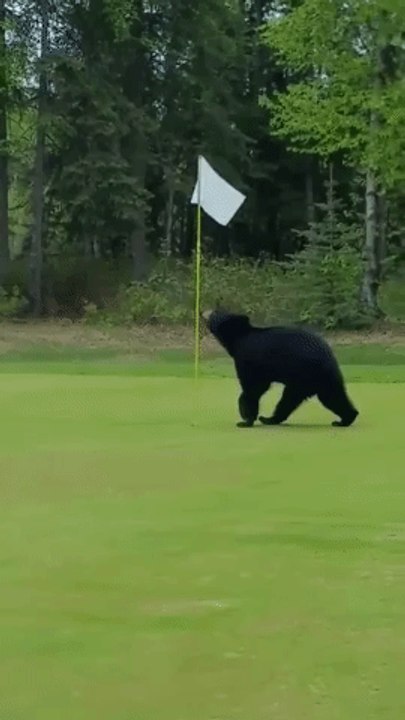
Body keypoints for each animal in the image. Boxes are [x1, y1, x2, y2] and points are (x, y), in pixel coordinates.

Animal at [202, 309, 359, 429]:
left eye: (215, 313)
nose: (203, 311)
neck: (238, 339)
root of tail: (328, 356)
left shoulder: (248, 359)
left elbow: (253, 387)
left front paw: (246, 419)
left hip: (306, 374)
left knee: (318, 397)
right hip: (317, 380)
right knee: (327, 396)